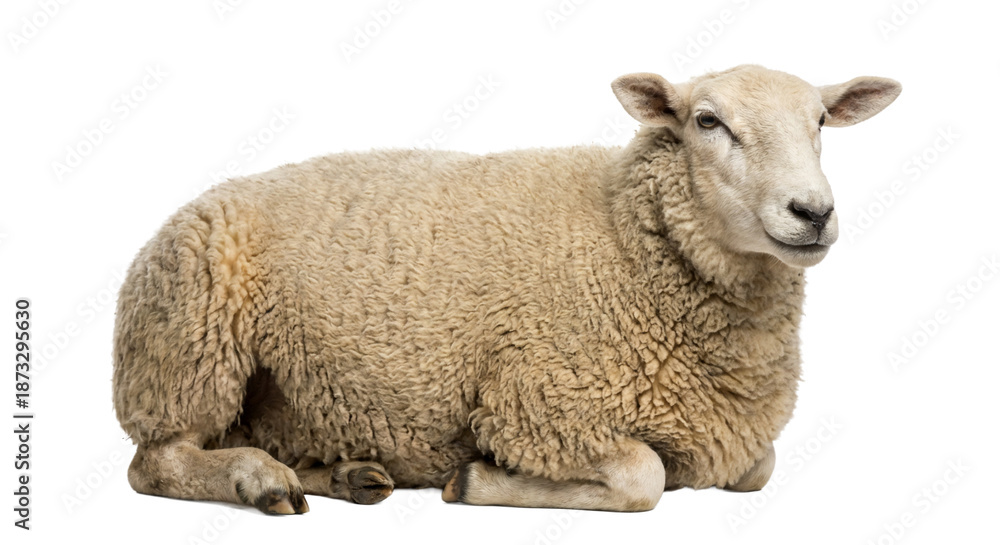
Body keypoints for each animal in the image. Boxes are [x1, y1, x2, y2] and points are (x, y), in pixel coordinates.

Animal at [112, 64, 901, 514]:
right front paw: (475, 480)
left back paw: (343, 473)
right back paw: (262, 480)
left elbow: (759, 469)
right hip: (188, 346)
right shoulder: (536, 405)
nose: (813, 212)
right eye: (708, 121)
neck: (624, 238)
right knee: (157, 461)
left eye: (821, 121)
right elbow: (643, 478)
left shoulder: (728, 440)